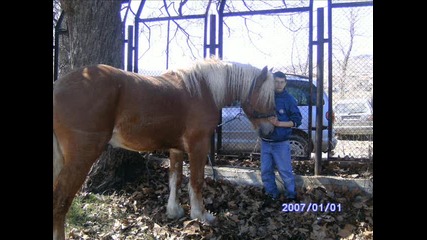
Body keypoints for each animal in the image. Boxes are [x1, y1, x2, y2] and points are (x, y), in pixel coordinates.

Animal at [51, 57, 276, 239]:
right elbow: (196, 181)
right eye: (266, 98)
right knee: (60, 202)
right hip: (81, 159)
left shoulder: (176, 149)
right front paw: (201, 215)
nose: (269, 131)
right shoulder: (198, 145)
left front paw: (174, 211)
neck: (202, 90)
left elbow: (175, 178)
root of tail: (59, 86)